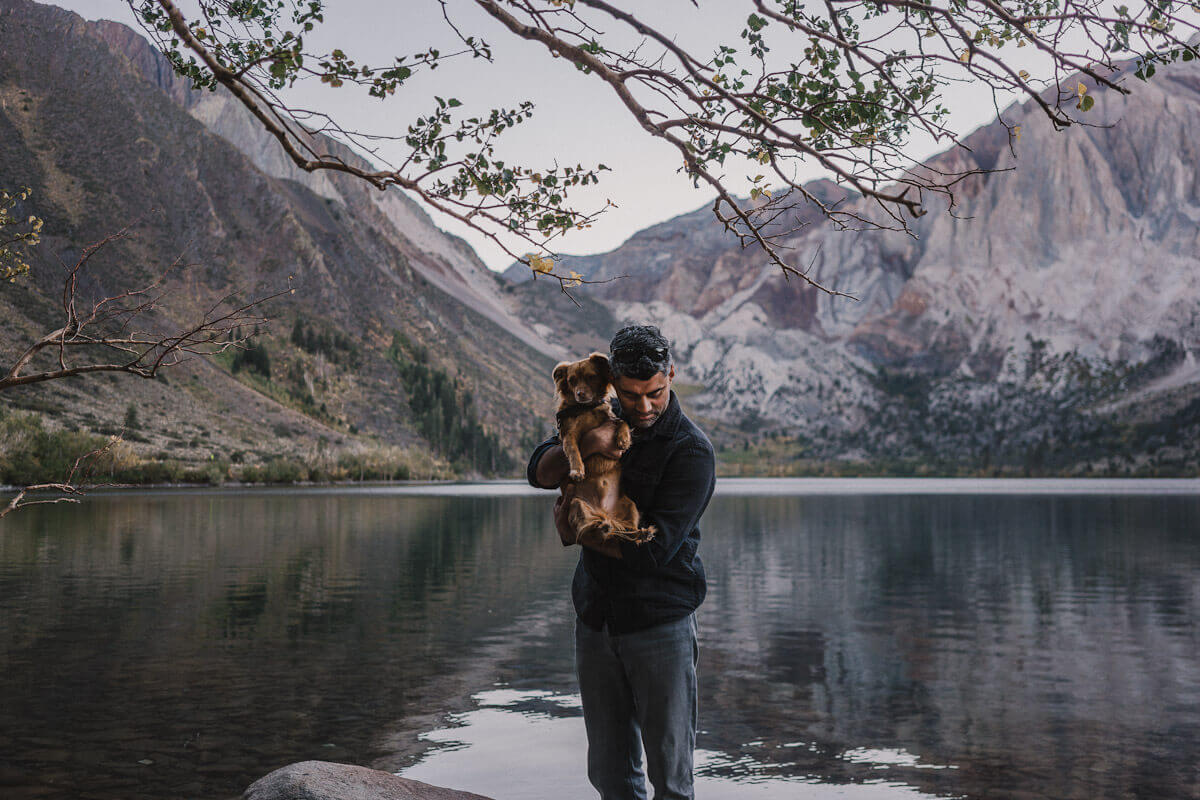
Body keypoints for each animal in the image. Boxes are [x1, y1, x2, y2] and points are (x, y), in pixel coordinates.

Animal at [552, 355, 657, 546]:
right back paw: (602, 527)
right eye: (572, 381)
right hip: (577, 504)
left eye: (591, 377)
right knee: (594, 527)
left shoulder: (610, 419)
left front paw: (623, 439)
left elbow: (622, 421)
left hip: (630, 506)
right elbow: (573, 450)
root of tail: (605, 513)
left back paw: (641, 533)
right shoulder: (569, 435)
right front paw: (577, 470)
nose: (580, 394)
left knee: (628, 531)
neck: (587, 408)